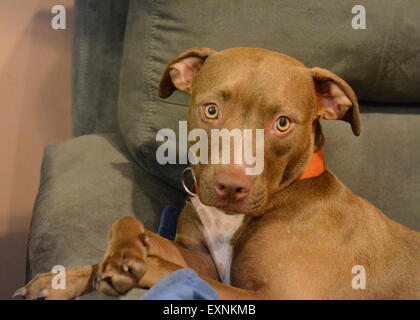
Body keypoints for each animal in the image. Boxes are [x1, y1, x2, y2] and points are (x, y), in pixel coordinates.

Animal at [15, 48, 420, 300]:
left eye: (283, 123)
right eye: (211, 110)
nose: (230, 186)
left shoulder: (277, 295)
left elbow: (170, 269)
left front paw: (130, 267)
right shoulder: (201, 257)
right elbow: (132, 224)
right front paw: (68, 277)